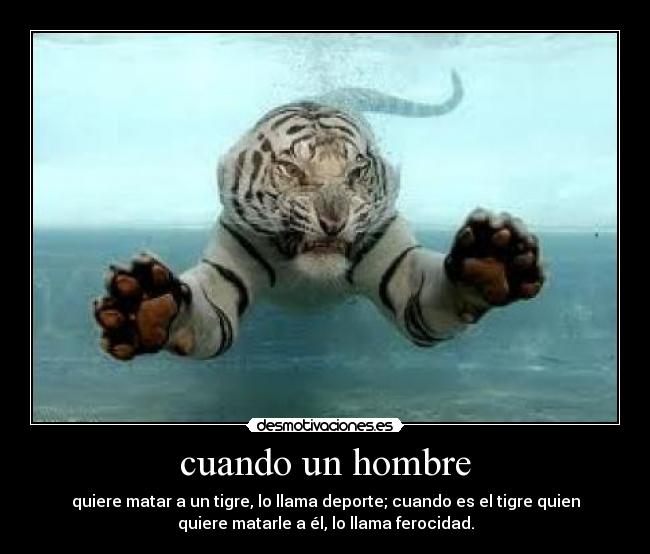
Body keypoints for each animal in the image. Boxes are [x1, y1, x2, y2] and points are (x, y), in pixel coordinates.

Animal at [93, 71, 544, 361]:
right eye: (292, 170)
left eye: (357, 172)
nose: (334, 222)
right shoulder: (224, 278)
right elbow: (197, 314)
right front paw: (143, 308)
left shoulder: (402, 269)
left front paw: (490, 262)